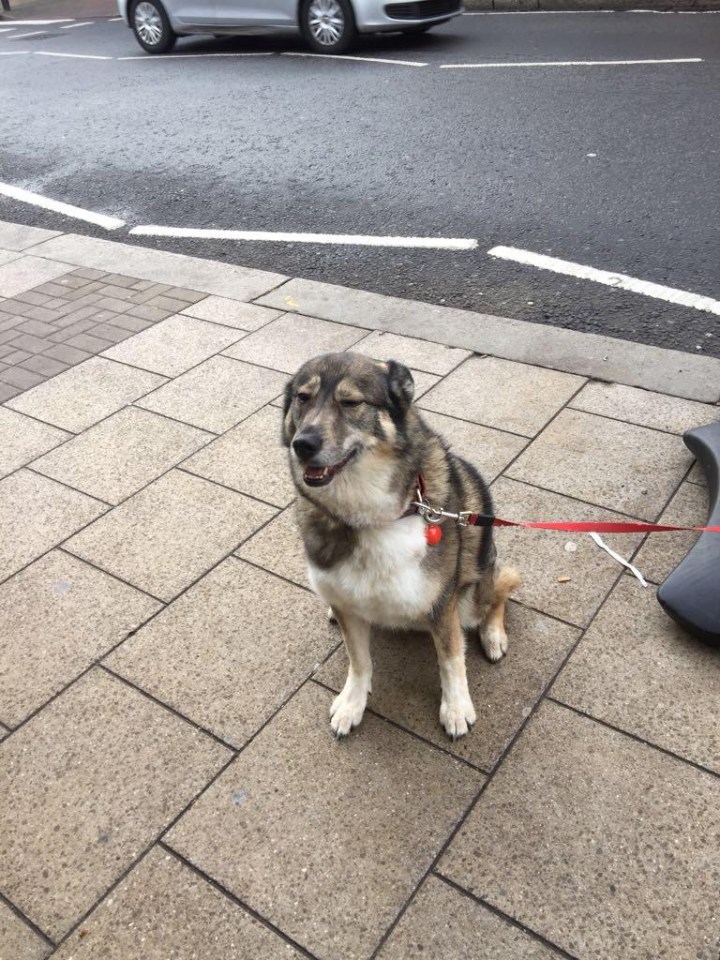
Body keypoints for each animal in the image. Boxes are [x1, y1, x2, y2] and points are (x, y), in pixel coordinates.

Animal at [280, 354, 516, 744]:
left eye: (351, 402)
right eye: (303, 397)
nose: (303, 444)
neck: (369, 517)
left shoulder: (442, 607)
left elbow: (451, 660)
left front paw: (456, 708)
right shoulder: (348, 608)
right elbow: (359, 660)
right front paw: (352, 703)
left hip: (473, 591)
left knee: (500, 591)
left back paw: (493, 636)